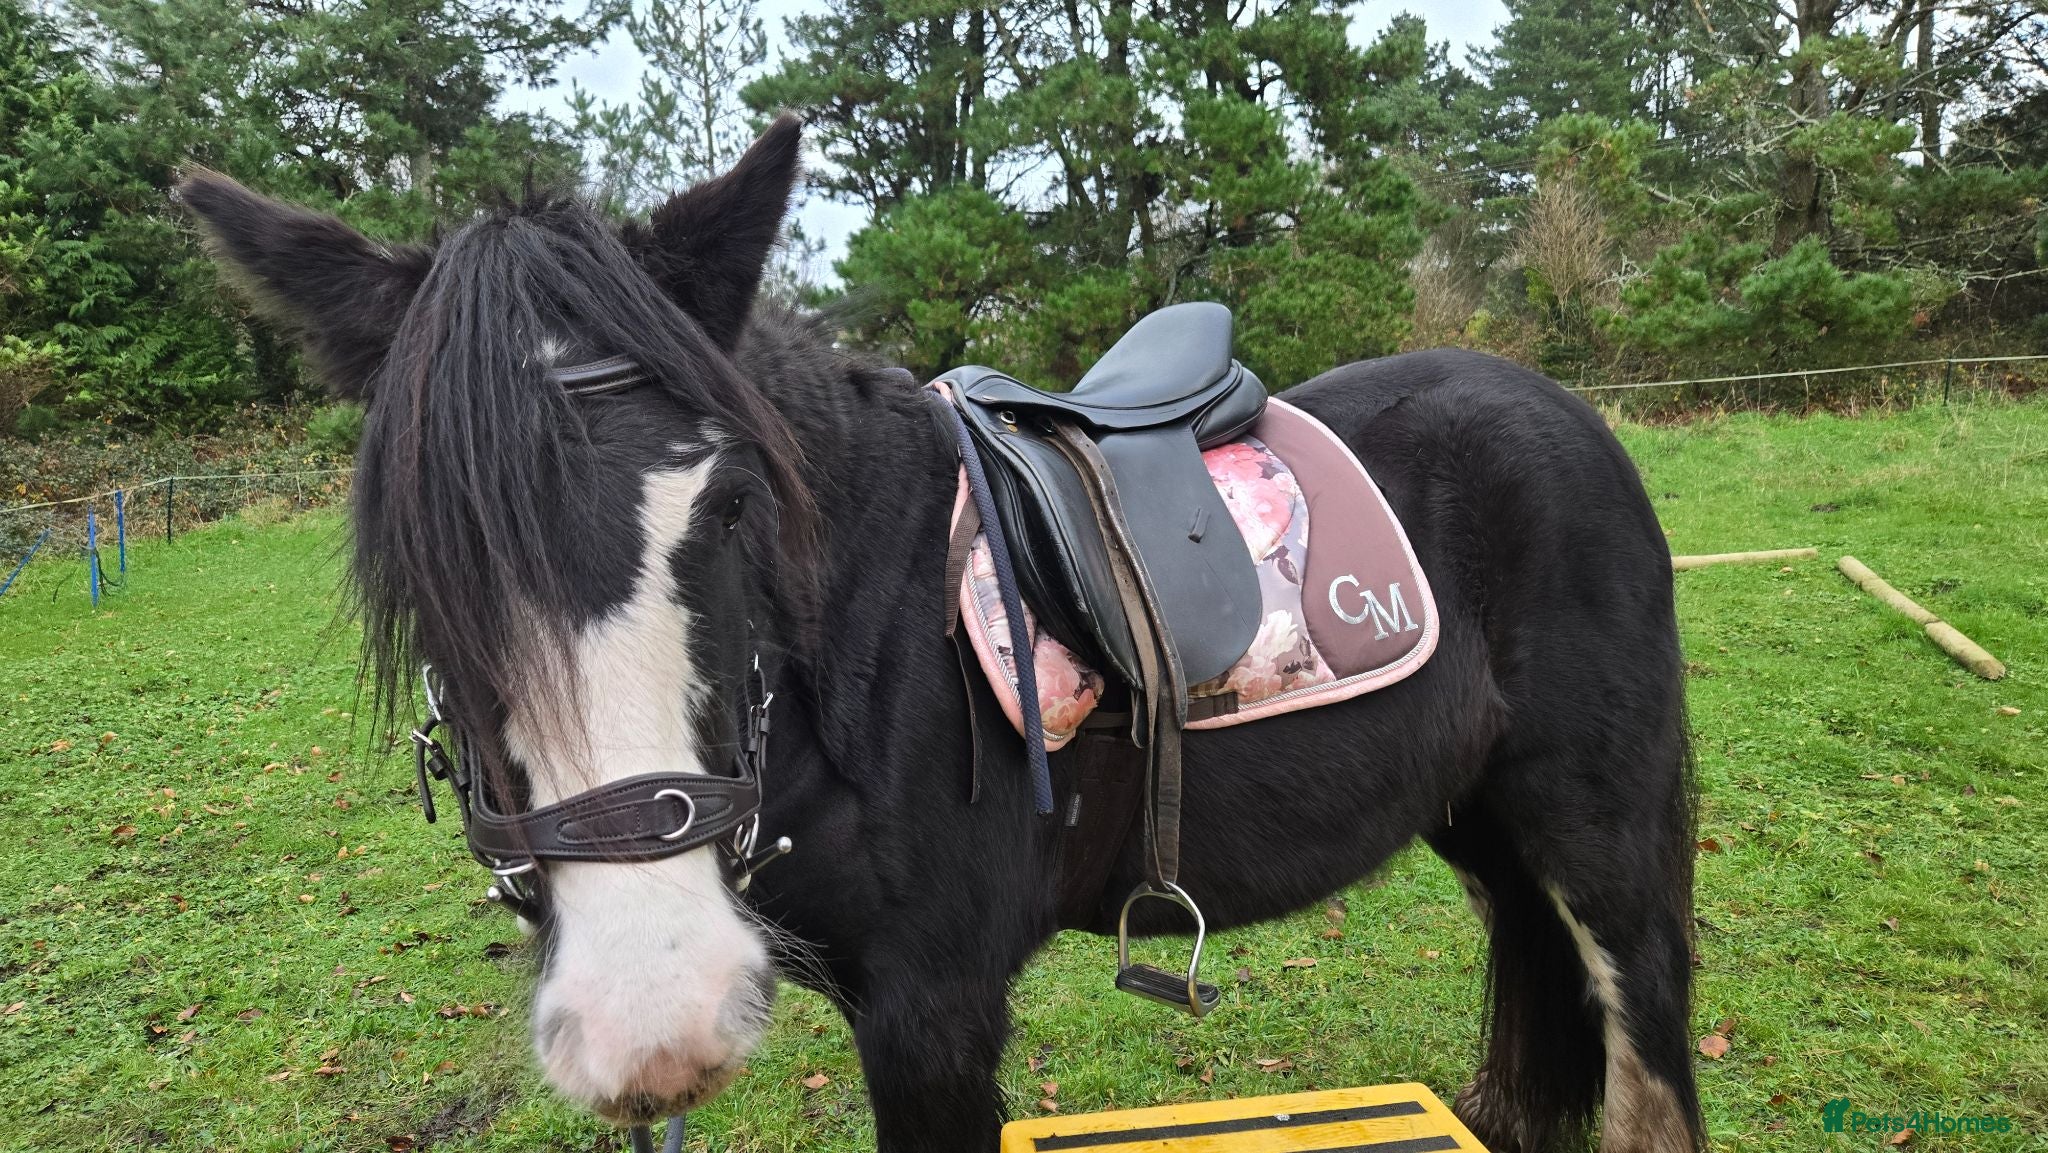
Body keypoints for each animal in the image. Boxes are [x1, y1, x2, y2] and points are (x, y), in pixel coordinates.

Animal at [178, 116, 1703, 1153]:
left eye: (731, 504)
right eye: (418, 558)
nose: (651, 1013)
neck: (851, 656)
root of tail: (1560, 409)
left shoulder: (931, 1014)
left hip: (1600, 830)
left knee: (1643, 1020)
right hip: (1482, 821)